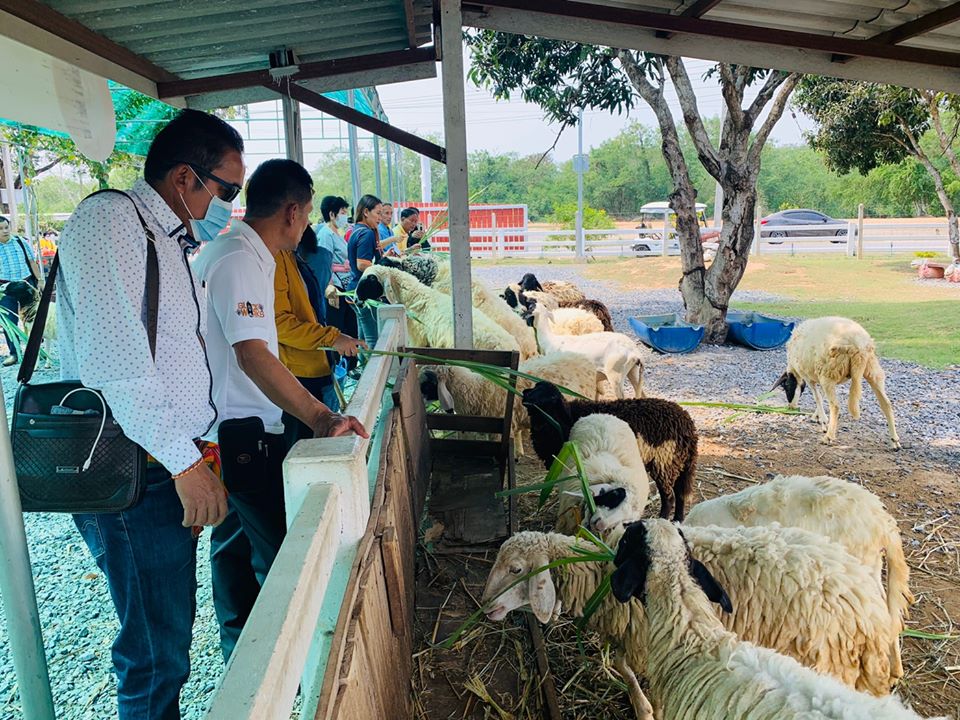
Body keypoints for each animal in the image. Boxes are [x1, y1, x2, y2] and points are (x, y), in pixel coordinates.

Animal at [523, 381, 696, 521]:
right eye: (535, 388)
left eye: (549, 398)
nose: (525, 396)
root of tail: (687, 424)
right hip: (678, 464)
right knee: (680, 494)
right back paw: (678, 519)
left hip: (663, 463)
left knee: (669, 496)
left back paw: (663, 519)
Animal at [772, 316, 900, 449]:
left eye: (786, 386)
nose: (791, 407)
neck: (794, 369)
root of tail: (858, 346)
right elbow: (822, 396)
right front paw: (816, 416)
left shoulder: (809, 377)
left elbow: (817, 397)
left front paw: (823, 421)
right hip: (872, 369)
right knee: (886, 403)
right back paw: (895, 440)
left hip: (828, 372)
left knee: (835, 406)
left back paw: (828, 437)